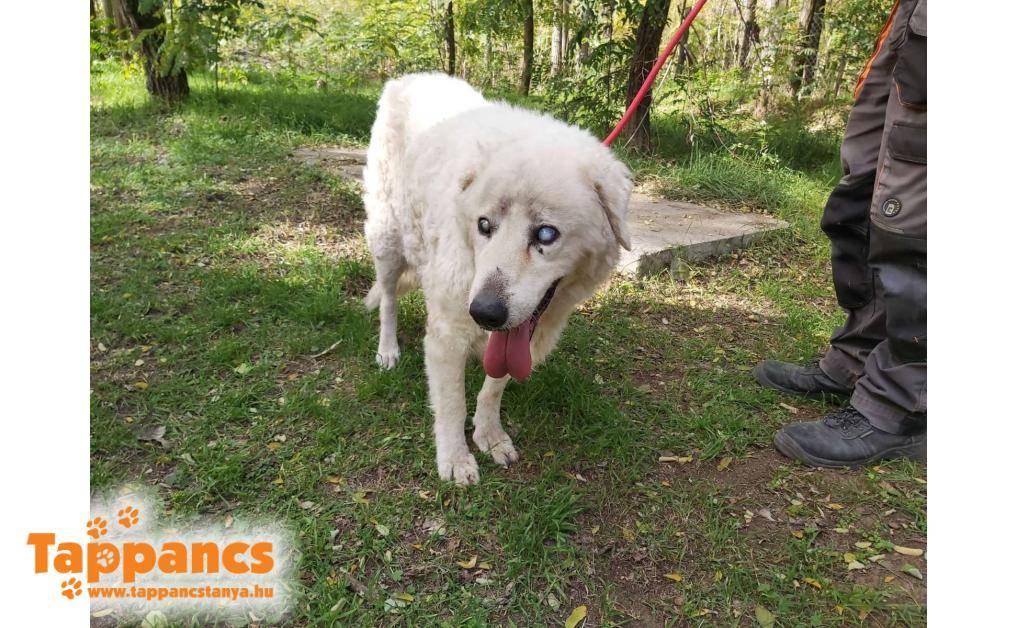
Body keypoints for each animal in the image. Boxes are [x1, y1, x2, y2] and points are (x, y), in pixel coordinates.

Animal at [363, 73, 632, 484]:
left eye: (546, 234)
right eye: (484, 225)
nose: (485, 313)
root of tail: (409, 77)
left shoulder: (523, 334)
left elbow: (492, 389)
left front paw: (489, 437)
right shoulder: (446, 333)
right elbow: (452, 404)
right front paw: (455, 459)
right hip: (389, 237)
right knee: (389, 299)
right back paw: (388, 350)